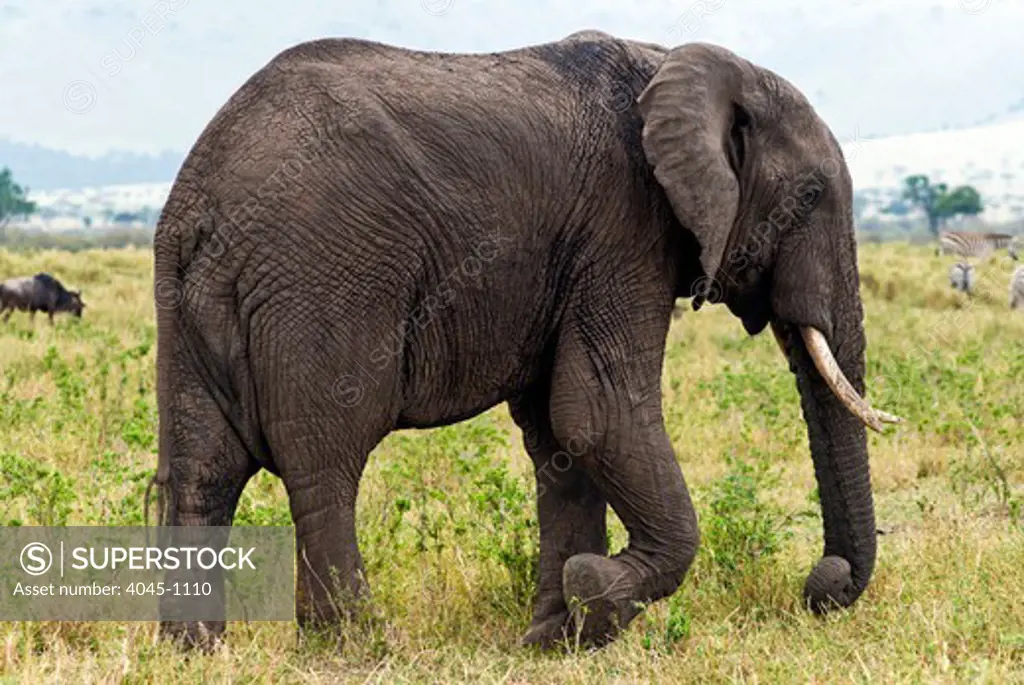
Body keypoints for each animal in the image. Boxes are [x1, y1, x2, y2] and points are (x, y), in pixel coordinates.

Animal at [149, 30, 897, 651]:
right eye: (810, 195)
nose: (822, 583)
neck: (677, 62)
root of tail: (204, 200)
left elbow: (561, 435)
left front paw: (558, 637)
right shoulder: (623, 228)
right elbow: (599, 412)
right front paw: (596, 592)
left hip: (185, 299)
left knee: (203, 465)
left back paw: (197, 649)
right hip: (324, 279)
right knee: (326, 459)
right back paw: (357, 648)